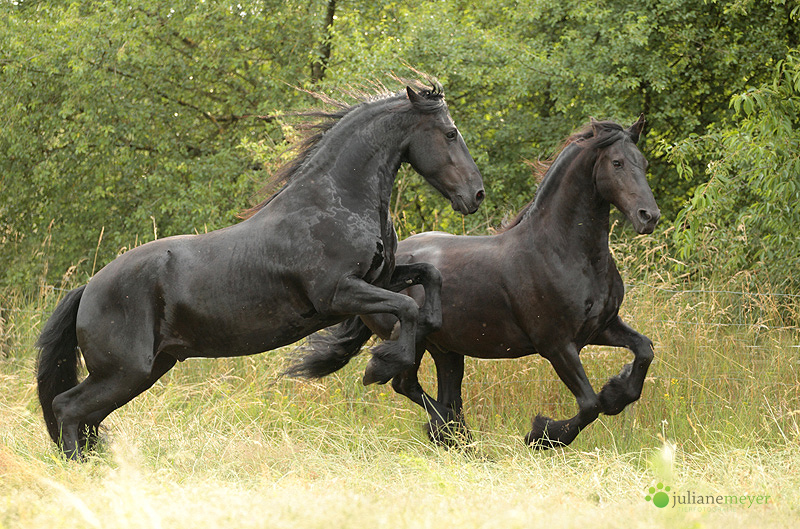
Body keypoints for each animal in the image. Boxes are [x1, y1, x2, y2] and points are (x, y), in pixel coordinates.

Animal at [37, 83, 484, 458]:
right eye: (449, 133)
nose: (476, 195)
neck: (334, 202)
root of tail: (87, 289)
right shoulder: (340, 294)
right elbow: (406, 309)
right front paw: (382, 365)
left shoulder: (379, 280)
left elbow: (428, 280)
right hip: (125, 371)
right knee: (68, 408)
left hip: (146, 369)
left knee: (85, 417)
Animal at [290, 114, 660, 446]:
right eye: (616, 163)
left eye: (642, 162)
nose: (649, 216)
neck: (564, 252)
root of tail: (377, 266)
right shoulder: (557, 345)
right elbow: (589, 404)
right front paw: (542, 435)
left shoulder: (601, 327)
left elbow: (644, 351)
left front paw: (615, 391)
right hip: (416, 340)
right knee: (405, 384)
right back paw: (449, 431)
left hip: (447, 349)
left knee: (443, 394)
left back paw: (454, 437)